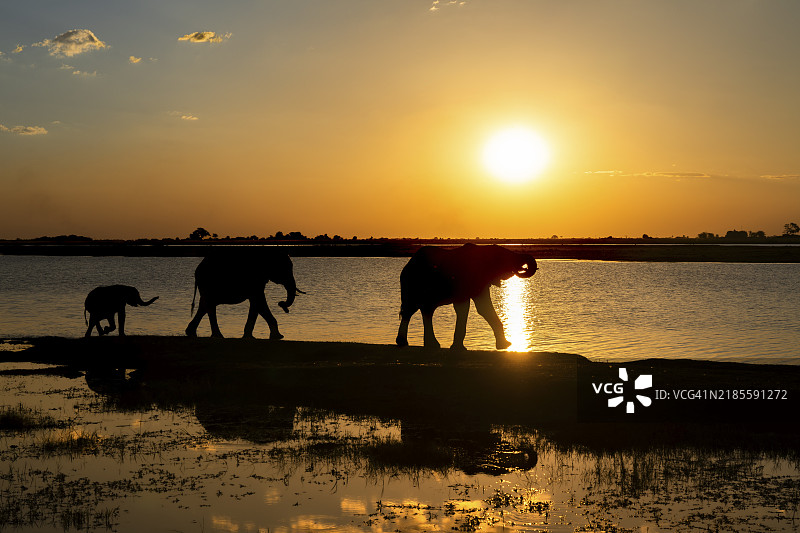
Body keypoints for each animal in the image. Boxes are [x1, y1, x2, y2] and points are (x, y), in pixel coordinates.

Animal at [396, 244, 537, 350]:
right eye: (504, 257)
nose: (523, 268)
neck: (483, 249)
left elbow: (475, 308)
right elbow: (475, 308)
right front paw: (506, 345)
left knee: (424, 310)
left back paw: (427, 345)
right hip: (412, 284)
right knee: (412, 309)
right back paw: (410, 343)